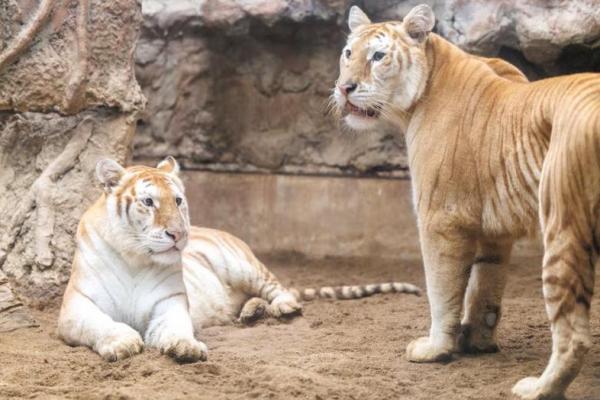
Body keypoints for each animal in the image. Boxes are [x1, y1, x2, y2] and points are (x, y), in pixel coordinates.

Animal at [57, 158, 422, 364]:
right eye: (148, 202)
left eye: (178, 200)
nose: (178, 233)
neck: (135, 258)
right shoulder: (77, 307)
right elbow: (100, 323)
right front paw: (123, 342)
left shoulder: (169, 304)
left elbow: (175, 327)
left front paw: (186, 347)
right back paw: (250, 312)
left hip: (243, 265)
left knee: (278, 288)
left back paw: (280, 308)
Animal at [332, 3, 600, 400]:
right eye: (348, 53)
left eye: (378, 56)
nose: (344, 87)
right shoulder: (495, 231)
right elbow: (484, 286)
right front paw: (476, 341)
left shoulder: (440, 218)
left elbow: (442, 289)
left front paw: (435, 349)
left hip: (564, 228)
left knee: (573, 335)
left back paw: (537, 388)